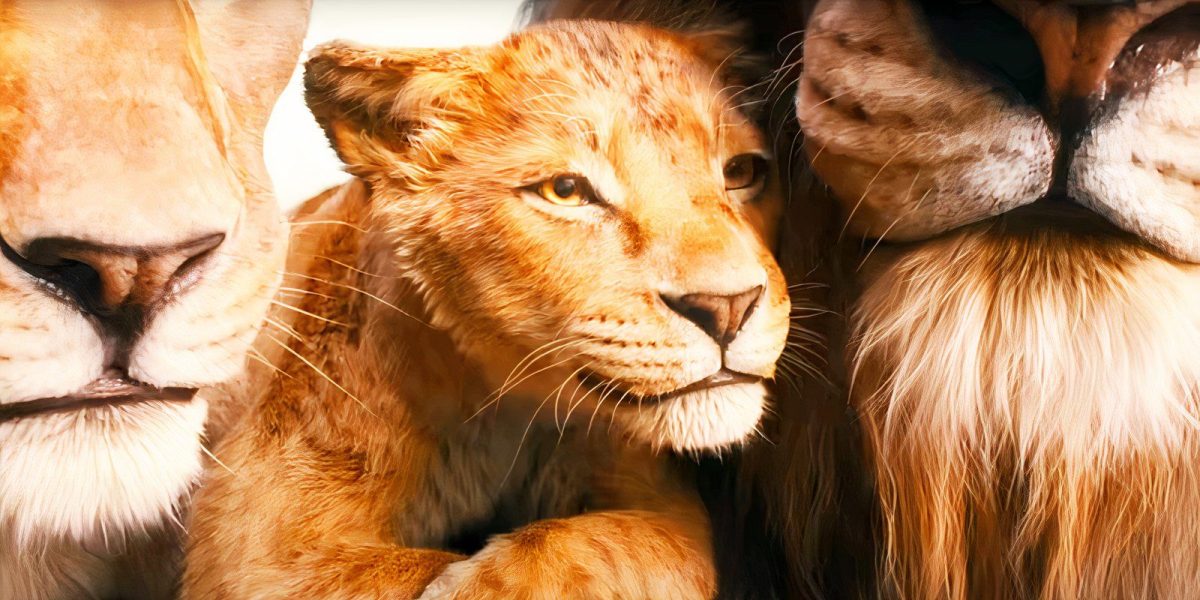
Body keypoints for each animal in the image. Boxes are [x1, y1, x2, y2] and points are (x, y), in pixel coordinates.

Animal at [180, 20, 791, 600]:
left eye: (741, 172)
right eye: (565, 190)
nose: (728, 307)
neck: (501, 408)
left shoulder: (664, 508)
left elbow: (615, 546)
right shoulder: (254, 538)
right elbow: (397, 570)